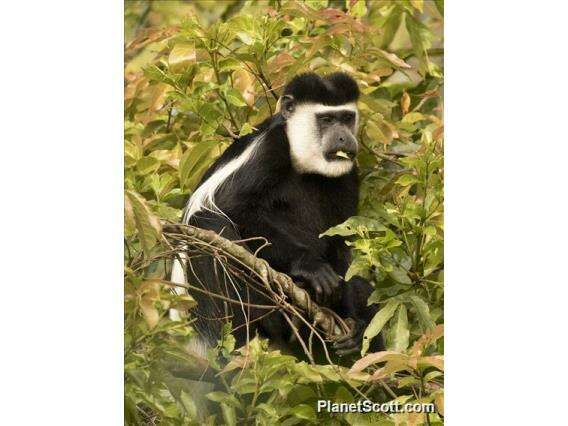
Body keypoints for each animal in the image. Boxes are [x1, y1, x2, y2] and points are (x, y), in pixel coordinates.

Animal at [171, 72, 384, 356]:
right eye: (326, 120)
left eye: (347, 118)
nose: (343, 138)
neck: (306, 162)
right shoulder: (270, 149)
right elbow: (235, 208)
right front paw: (311, 267)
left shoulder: (348, 172)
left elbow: (341, 244)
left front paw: (357, 329)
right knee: (210, 226)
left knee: (363, 287)